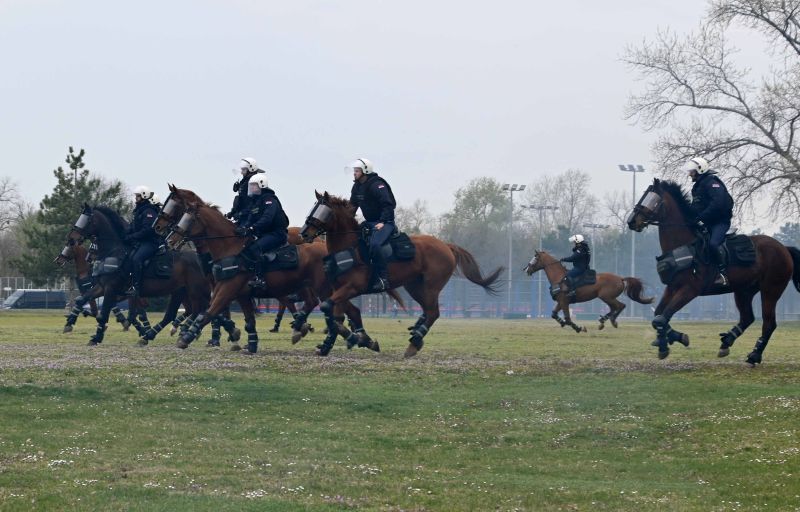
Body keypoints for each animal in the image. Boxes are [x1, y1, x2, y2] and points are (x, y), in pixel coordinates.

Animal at [65, 206, 211, 346]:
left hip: (196, 290)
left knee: (202, 310)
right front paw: (71, 321)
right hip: (179, 291)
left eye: (86, 220)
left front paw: (97, 337)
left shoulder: (111, 288)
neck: (115, 251)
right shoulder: (102, 287)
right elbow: (81, 299)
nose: (71, 238)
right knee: (174, 314)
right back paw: (150, 336)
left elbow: (104, 314)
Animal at [162, 186, 384, 354]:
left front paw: (186, 337)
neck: (230, 246)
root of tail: (328, 249)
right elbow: (245, 320)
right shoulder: (236, 291)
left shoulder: (227, 288)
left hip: (324, 289)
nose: (169, 240)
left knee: (334, 310)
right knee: (345, 310)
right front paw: (249, 343)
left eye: (188, 218)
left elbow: (209, 311)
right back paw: (357, 339)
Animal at [296, 191, 504, 356]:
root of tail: (446, 246)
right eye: (314, 208)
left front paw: (354, 337)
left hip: (431, 287)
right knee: (427, 311)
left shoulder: (352, 288)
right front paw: (340, 342)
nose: (304, 233)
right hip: (414, 287)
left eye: (323, 210)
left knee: (433, 312)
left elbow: (329, 309)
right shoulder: (340, 290)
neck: (349, 247)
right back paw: (416, 334)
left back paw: (414, 342)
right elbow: (339, 313)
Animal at [520, 249, 652, 332]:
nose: (526, 269)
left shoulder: (564, 302)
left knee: (620, 306)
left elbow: (568, 319)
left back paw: (611, 321)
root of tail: (620, 278)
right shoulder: (561, 302)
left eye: (535, 258)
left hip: (606, 297)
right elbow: (554, 314)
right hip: (607, 298)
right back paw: (603, 321)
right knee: (614, 308)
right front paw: (562, 322)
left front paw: (579, 328)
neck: (559, 277)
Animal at [624, 180, 800, 364]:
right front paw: (668, 341)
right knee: (747, 317)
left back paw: (754, 355)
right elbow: (659, 315)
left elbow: (662, 318)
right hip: (744, 291)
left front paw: (671, 341)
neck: (685, 245)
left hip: (770, 290)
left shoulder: (690, 290)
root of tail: (784, 249)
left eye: (654, 200)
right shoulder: (672, 287)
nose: (631, 221)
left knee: (769, 323)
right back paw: (727, 342)